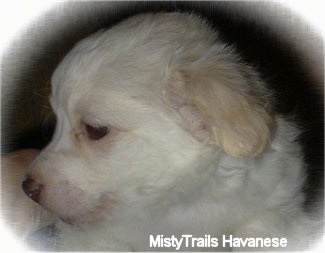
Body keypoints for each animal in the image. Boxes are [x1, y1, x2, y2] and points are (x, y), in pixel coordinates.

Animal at [22, 12, 316, 250]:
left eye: (95, 131)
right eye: (57, 120)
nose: (27, 188)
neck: (174, 205)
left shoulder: (274, 210)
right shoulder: (90, 239)